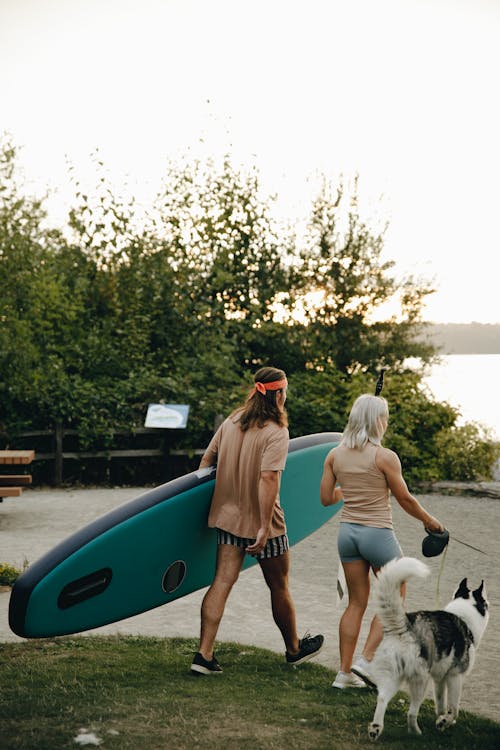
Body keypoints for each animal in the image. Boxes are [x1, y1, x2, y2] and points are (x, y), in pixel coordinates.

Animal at [368, 556, 488, 744]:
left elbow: (441, 704)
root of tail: (405, 625)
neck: (465, 616)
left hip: (392, 678)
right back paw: (416, 733)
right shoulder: (455, 677)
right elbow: (454, 708)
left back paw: (375, 729)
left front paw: (441, 720)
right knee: (411, 713)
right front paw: (445, 721)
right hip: (420, 682)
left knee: (381, 699)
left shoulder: (439, 679)